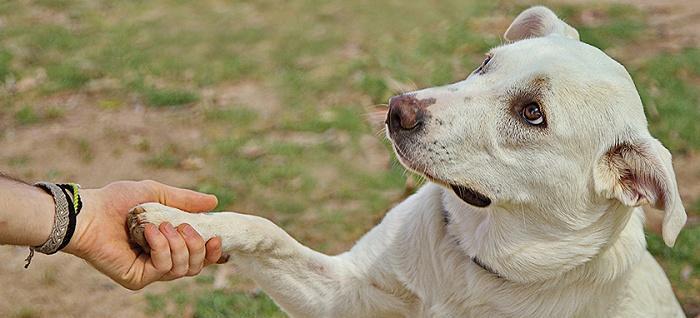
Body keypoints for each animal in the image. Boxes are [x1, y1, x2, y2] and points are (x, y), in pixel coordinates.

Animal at [129, 6, 688, 316]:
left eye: (532, 113)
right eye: (485, 63)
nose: (397, 109)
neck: (476, 264)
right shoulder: (339, 296)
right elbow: (263, 228)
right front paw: (177, 221)